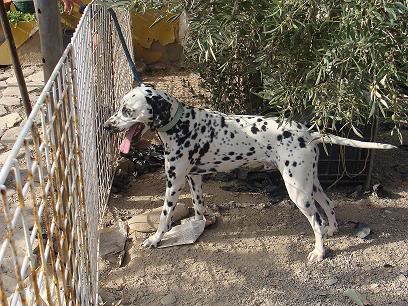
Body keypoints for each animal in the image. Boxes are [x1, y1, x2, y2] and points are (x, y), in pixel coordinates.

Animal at [103, 83, 396, 262]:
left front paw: (155, 239)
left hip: (298, 192)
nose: (106, 126)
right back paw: (333, 230)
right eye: (120, 107)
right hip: (310, 184)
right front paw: (196, 227)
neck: (181, 122)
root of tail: (307, 132)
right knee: (329, 205)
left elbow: (164, 217)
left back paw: (319, 252)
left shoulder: (173, 182)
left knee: (316, 220)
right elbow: (198, 209)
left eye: (127, 111)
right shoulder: (194, 178)